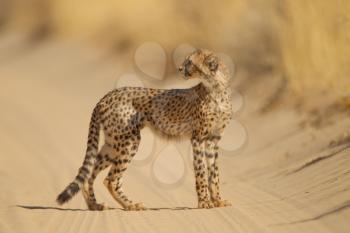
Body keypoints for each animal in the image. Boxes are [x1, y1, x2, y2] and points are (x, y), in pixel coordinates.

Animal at [56, 49, 232, 211]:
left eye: (190, 62)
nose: (180, 68)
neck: (216, 88)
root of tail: (106, 96)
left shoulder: (213, 139)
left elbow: (214, 172)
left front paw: (218, 200)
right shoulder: (198, 138)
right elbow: (201, 171)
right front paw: (204, 202)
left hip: (113, 143)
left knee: (90, 171)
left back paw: (96, 205)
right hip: (129, 141)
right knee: (111, 179)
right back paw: (130, 205)